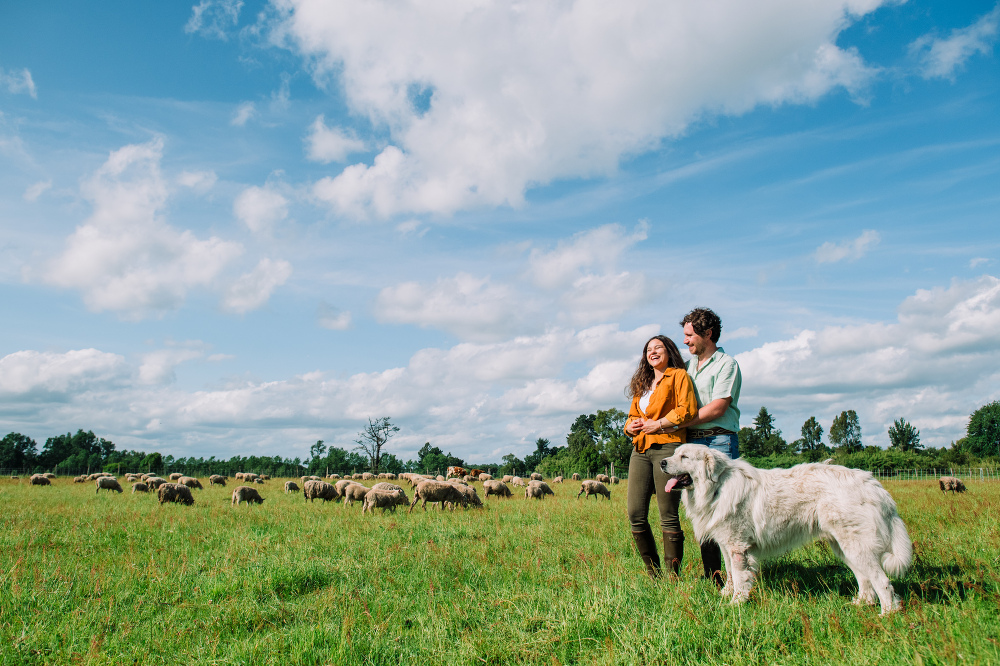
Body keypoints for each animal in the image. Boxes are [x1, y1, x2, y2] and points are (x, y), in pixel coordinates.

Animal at [660, 444, 912, 616]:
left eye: (684, 457)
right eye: (675, 454)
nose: (662, 462)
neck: (717, 487)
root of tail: (873, 484)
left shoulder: (738, 546)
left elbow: (740, 577)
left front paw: (736, 604)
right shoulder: (727, 545)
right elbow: (730, 573)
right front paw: (726, 595)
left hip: (856, 546)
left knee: (882, 581)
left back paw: (887, 614)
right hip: (844, 547)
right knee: (865, 579)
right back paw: (860, 603)